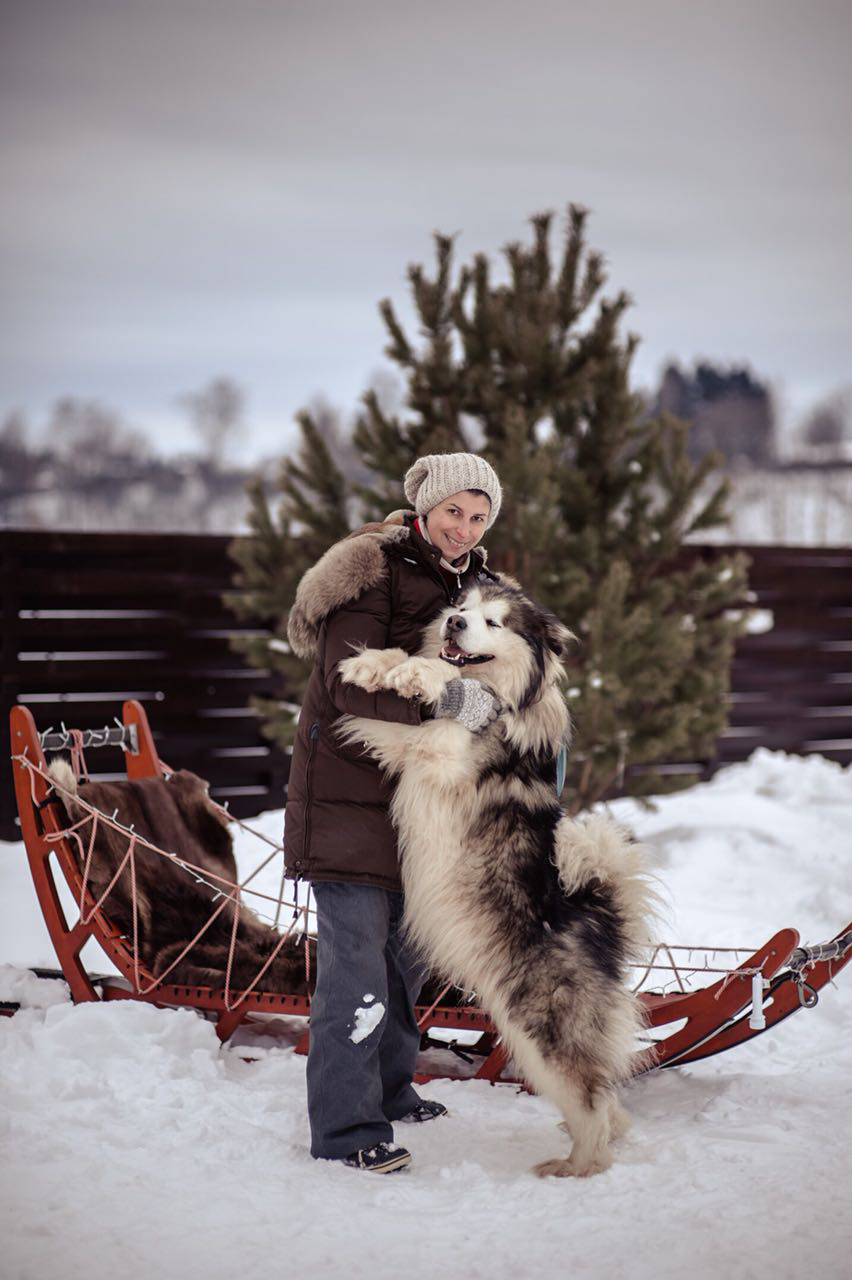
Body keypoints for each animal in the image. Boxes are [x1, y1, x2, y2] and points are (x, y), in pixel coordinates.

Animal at [335, 581, 652, 1177]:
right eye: (461, 605)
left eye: (494, 622)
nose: (455, 623)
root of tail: (601, 920)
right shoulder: (407, 742)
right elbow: (398, 696)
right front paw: (375, 665)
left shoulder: (444, 749)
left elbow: (451, 685)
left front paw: (419, 673)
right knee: (608, 1102)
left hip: (541, 1031)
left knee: (591, 1100)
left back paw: (574, 1167)